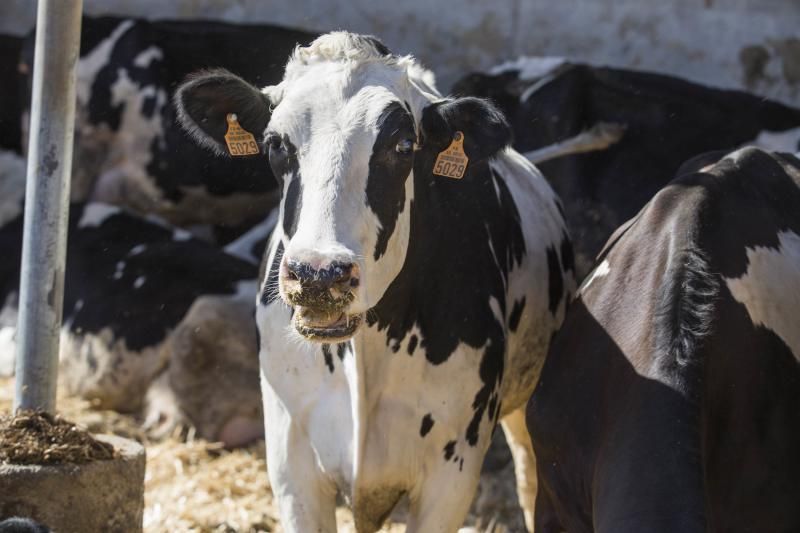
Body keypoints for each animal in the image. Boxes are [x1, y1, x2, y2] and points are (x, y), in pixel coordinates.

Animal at [175, 33, 576, 532]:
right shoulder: (291, 464)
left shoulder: (452, 474)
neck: (366, 352)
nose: (319, 274)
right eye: (275, 144)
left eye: (403, 145)